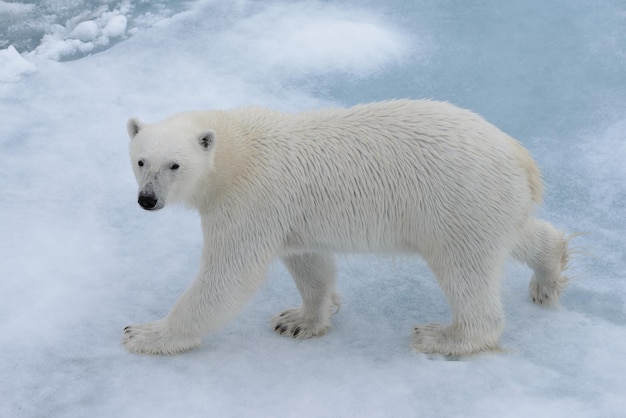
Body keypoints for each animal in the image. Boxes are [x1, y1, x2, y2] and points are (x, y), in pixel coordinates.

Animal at [122, 99, 572, 356]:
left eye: (175, 165)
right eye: (141, 160)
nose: (147, 200)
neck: (236, 151)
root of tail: (521, 158)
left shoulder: (249, 199)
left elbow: (229, 276)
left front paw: (144, 333)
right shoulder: (291, 214)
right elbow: (310, 264)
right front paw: (299, 320)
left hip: (457, 202)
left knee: (466, 272)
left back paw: (443, 337)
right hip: (488, 204)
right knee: (517, 236)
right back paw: (549, 272)